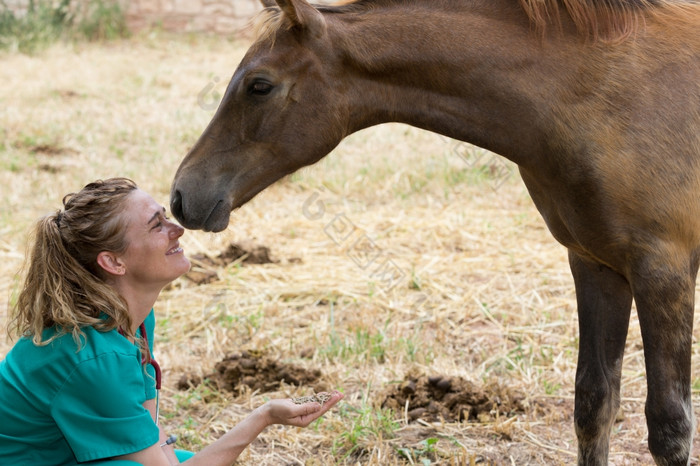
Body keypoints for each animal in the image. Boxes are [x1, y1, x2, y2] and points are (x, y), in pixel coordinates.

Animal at [170, 0, 700, 462]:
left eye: (259, 86)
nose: (181, 195)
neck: (599, 91)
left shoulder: (662, 270)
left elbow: (669, 427)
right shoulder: (595, 263)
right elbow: (593, 404)